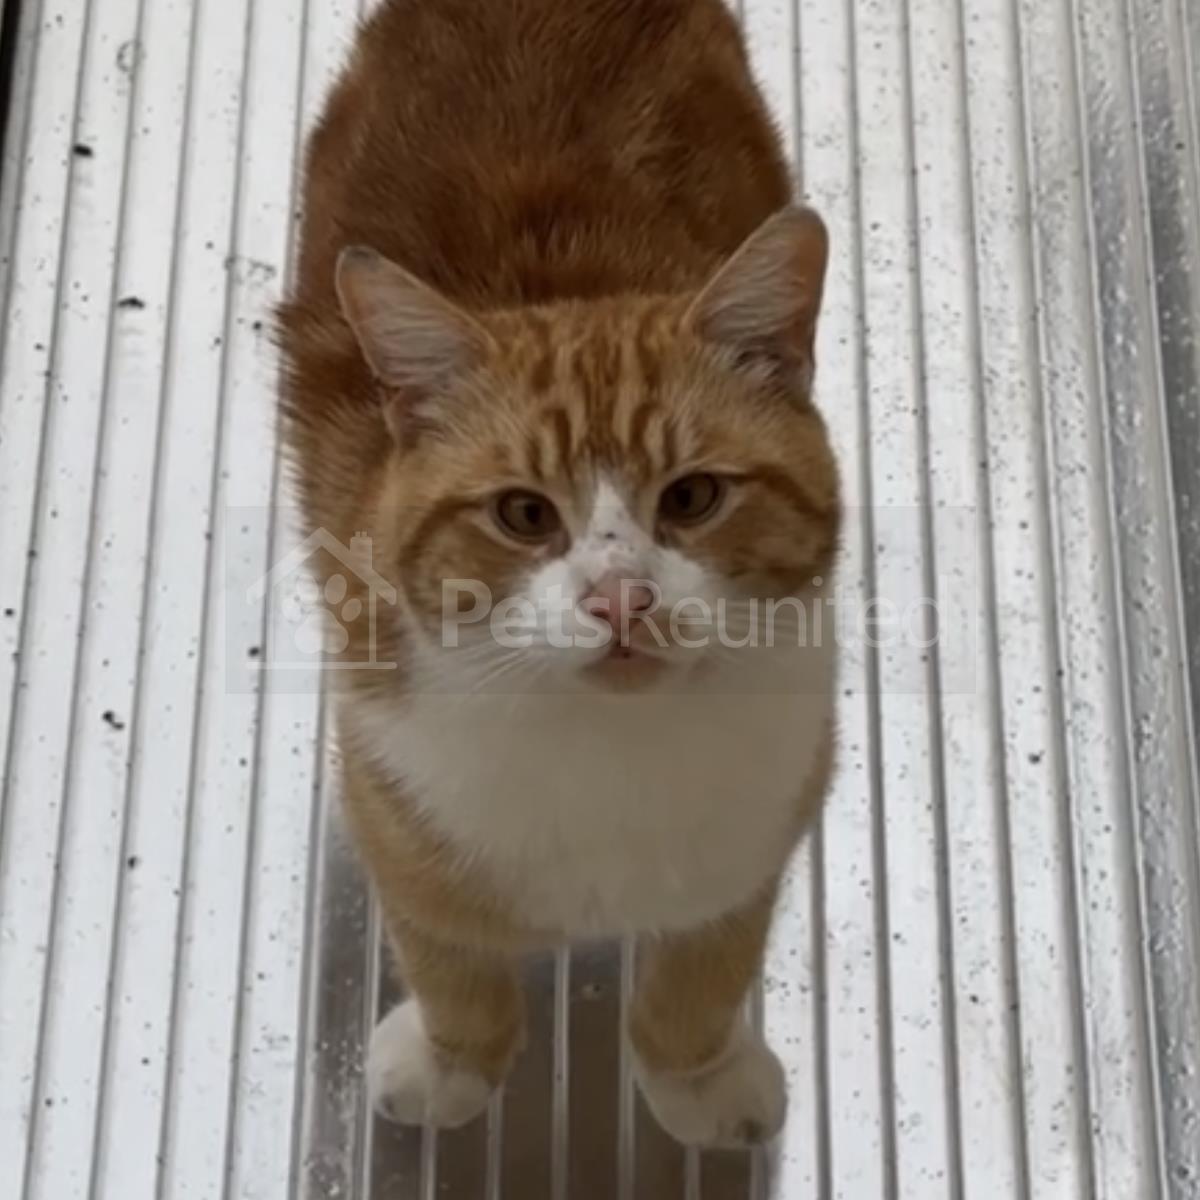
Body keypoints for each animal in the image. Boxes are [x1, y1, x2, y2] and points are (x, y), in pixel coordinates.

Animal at [278, 0, 839, 1149]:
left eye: (692, 497)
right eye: (524, 514)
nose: (620, 597)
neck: (606, 756)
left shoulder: (776, 806)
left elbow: (707, 964)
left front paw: (697, 1072)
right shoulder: (388, 784)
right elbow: (446, 950)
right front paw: (451, 1059)